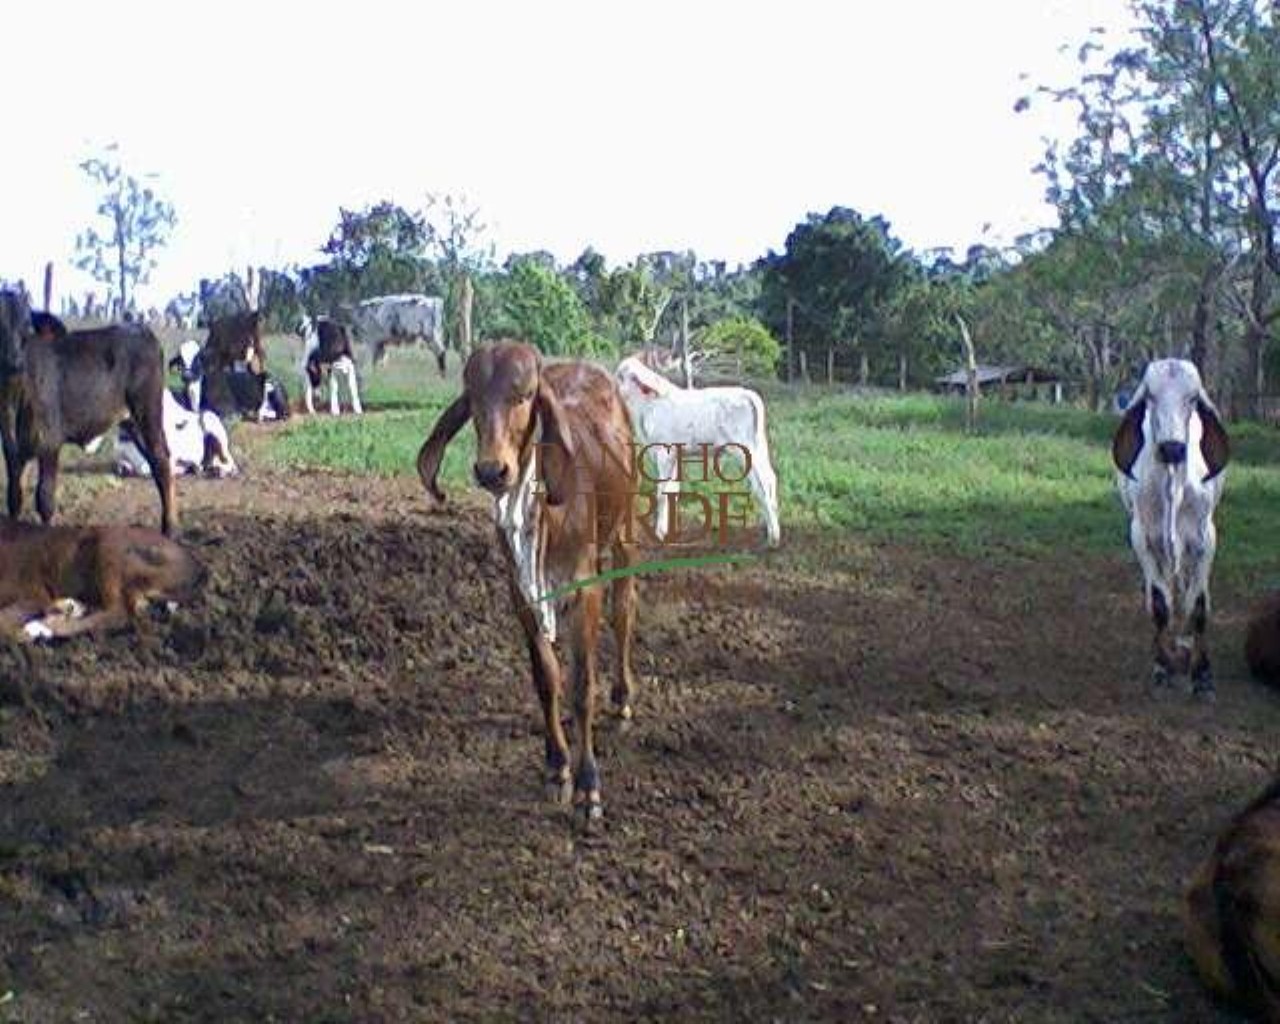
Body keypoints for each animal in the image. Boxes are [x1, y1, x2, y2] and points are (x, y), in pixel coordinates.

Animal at [0, 519, 203, 640]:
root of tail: (197, 567)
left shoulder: (34, 593)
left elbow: (4, 622)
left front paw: (30, 631)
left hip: (108, 550)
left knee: (118, 613)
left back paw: (46, 626)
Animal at [611, 355, 778, 547]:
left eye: (620, 375)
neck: (647, 407)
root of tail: (747, 394)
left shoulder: (664, 453)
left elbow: (662, 492)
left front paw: (659, 534)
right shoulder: (675, 455)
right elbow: (673, 490)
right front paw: (669, 532)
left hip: (745, 450)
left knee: (762, 484)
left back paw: (773, 537)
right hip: (759, 448)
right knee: (770, 479)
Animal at [1111, 355, 1228, 701]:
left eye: (1192, 398)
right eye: (1150, 396)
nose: (1173, 448)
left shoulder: (1205, 539)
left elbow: (1199, 605)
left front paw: (1202, 675)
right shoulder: (1142, 538)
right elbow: (1160, 604)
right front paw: (1162, 666)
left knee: (1187, 588)